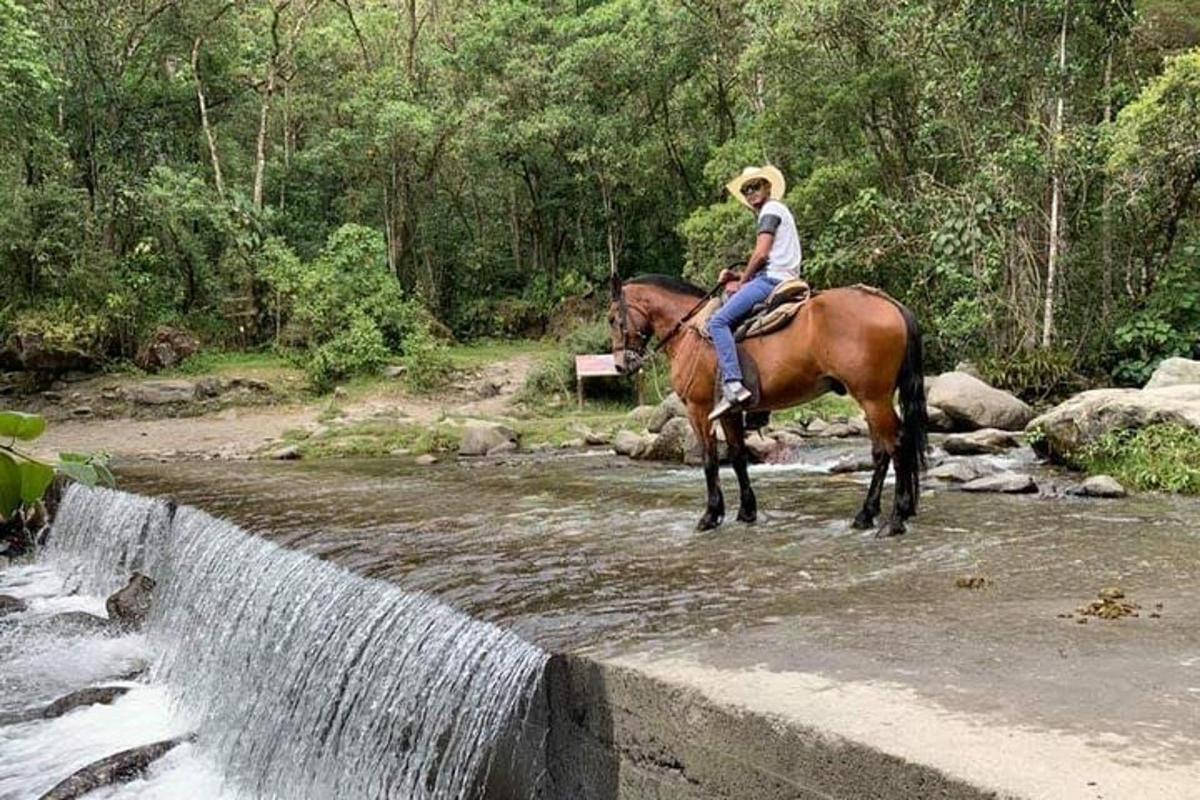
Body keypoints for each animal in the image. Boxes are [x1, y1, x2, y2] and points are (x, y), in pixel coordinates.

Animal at [609, 275, 926, 537]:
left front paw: (710, 515)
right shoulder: (729, 412)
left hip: (873, 398)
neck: (689, 330)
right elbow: (737, 457)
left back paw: (896, 520)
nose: (620, 365)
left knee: (896, 445)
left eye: (613, 319)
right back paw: (866, 515)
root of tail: (891, 304)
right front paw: (746, 511)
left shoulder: (698, 409)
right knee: (882, 452)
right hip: (872, 400)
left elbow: (710, 460)